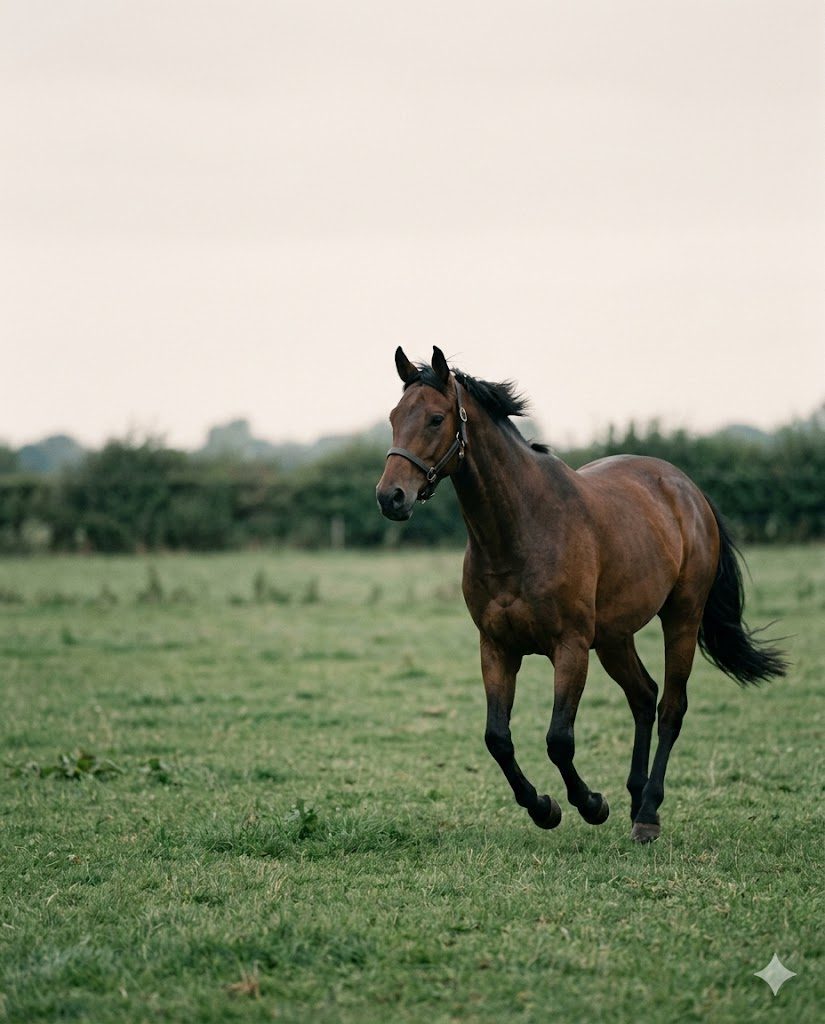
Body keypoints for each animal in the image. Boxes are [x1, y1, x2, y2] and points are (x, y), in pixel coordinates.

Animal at [376, 346, 786, 842]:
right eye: (394, 416)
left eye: (436, 419)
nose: (391, 497)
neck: (522, 529)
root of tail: (688, 491)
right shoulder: (496, 648)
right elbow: (498, 739)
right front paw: (544, 808)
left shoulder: (569, 647)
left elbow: (558, 739)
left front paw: (590, 805)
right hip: (614, 637)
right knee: (643, 696)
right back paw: (635, 798)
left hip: (681, 618)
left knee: (670, 707)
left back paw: (648, 814)